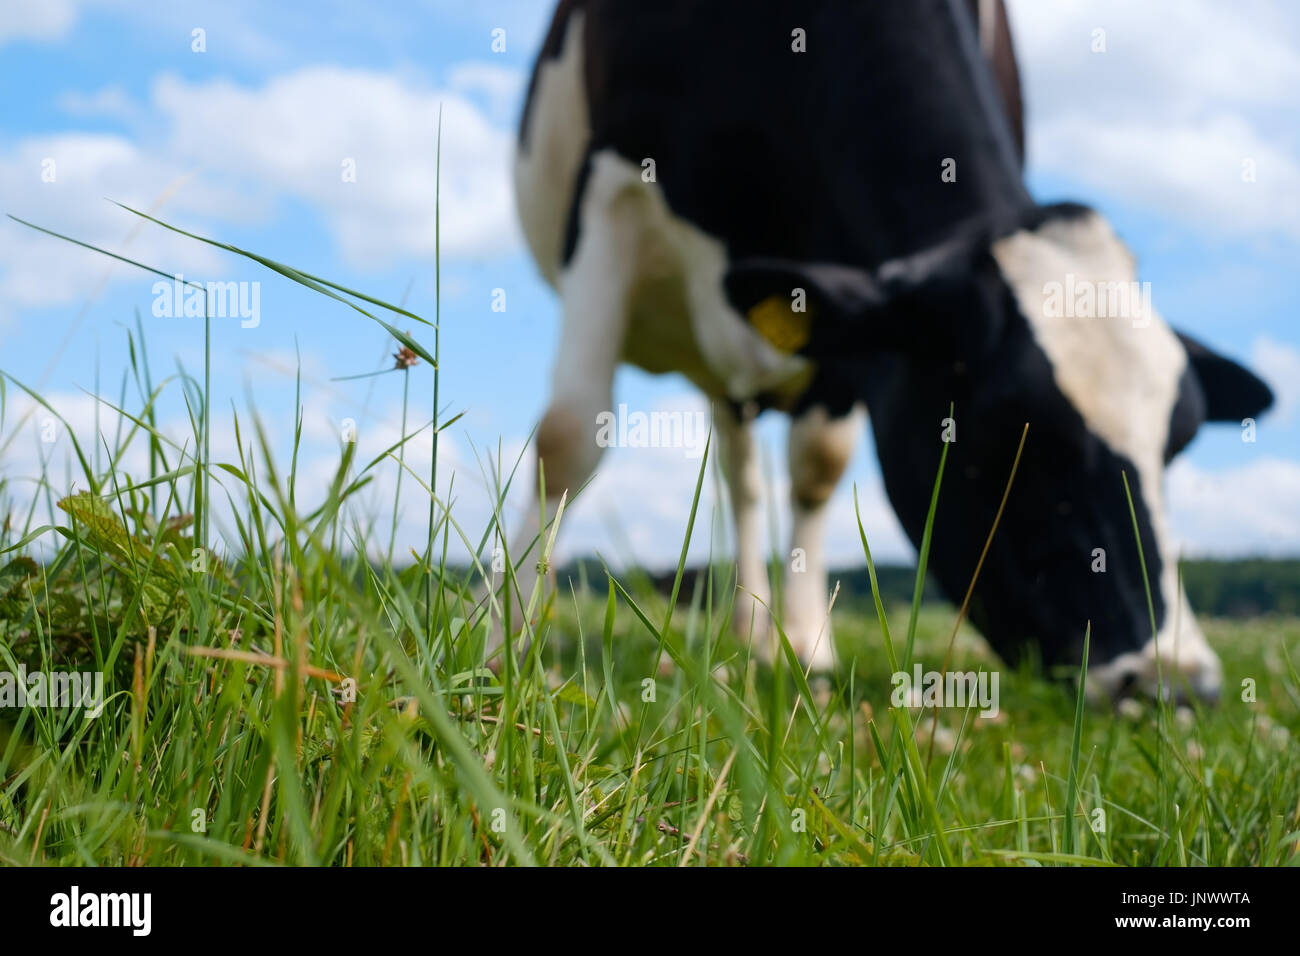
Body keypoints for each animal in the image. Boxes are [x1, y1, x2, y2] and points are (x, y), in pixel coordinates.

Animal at [504, 0, 1268, 702]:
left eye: (1177, 448)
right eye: (1015, 433)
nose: (1177, 683)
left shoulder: (847, 309)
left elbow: (817, 466)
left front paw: (805, 649)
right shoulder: (611, 184)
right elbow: (569, 435)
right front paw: (508, 640)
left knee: (745, 474)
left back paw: (758, 634)